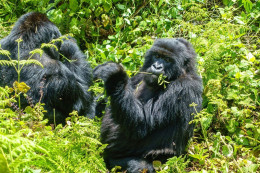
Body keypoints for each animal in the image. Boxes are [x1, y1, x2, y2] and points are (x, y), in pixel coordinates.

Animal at [93, 38, 203, 172]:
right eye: (157, 56)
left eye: (167, 60)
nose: (156, 66)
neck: (180, 73)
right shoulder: (142, 72)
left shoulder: (183, 87)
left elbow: (142, 124)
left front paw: (115, 75)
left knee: (140, 167)